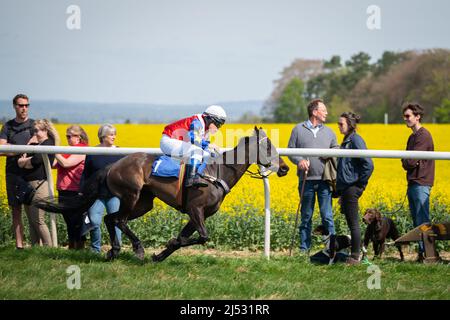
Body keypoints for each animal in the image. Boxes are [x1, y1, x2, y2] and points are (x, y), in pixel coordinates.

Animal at [34, 127, 288, 262]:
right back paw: (137, 248)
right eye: (268, 147)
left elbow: (188, 238)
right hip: (131, 195)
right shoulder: (195, 209)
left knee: (110, 218)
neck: (217, 173)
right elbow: (202, 237)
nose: (285, 168)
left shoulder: (198, 215)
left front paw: (161, 254)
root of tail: (113, 165)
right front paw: (167, 244)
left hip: (144, 203)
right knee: (119, 220)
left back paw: (114, 251)